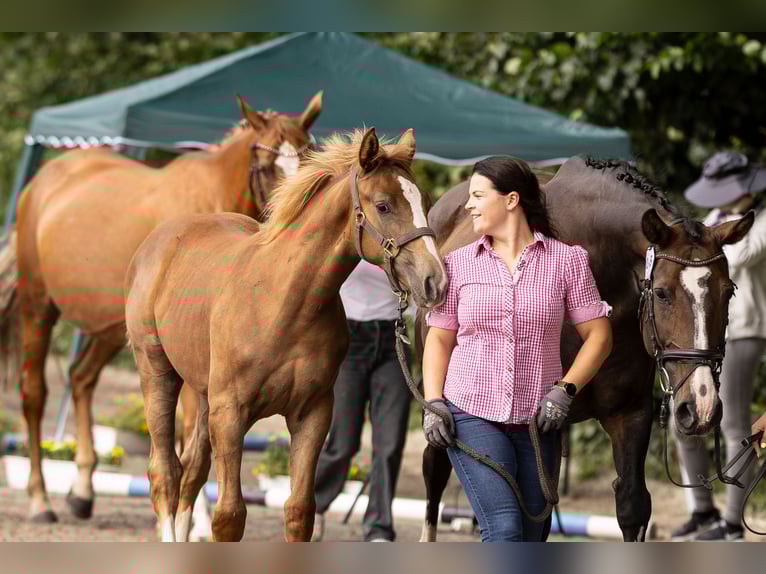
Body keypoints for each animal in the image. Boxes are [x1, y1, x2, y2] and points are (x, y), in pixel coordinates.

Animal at [1, 91, 323, 525]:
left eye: (307, 160)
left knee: (81, 379)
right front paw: (196, 518)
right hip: (39, 306)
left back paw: (82, 491)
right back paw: (40, 500)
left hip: (114, 329)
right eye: (266, 164)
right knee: (35, 394)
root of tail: (42, 184)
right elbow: (188, 430)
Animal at [124, 127, 448, 542]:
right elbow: (229, 516)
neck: (282, 302)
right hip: (158, 374)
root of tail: (156, 243)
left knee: (192, 471)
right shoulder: (230, 414)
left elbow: (299, 511)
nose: (435, 280)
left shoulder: (313, 414)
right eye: (383, 206)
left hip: (204, 394)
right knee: (166, 473)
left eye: (425, 201)